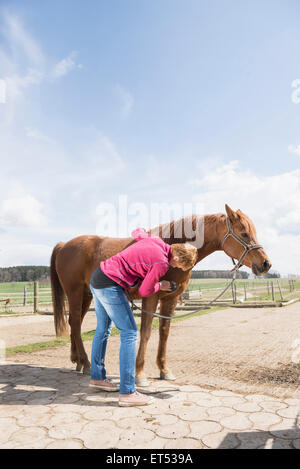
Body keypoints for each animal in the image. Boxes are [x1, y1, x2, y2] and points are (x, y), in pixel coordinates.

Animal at [50, 205, 270, 384]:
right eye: (244, 233)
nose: (266, 264)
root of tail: (64, 245)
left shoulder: (170, 299)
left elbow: (164, 333)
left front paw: (164, 370)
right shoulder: (151, 297)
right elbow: (146, 332)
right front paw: (140, 374)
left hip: (87, 295)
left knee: (74, 324)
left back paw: (77, 361)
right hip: (75, 293)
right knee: (75, 323)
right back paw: (86, 363)